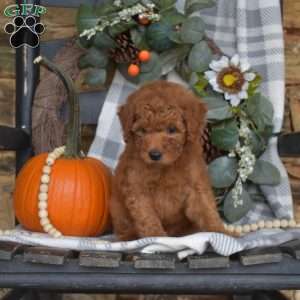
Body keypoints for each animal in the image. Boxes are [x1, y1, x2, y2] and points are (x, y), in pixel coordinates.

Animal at [109, 81, 225, 240]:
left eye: (172, 129)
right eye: (142, 131)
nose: (154, 154)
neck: (165, 166)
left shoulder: (196, 185)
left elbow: (207, 210)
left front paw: (223, 233)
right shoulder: (137, 188)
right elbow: (147, 217)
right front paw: (155, 237)